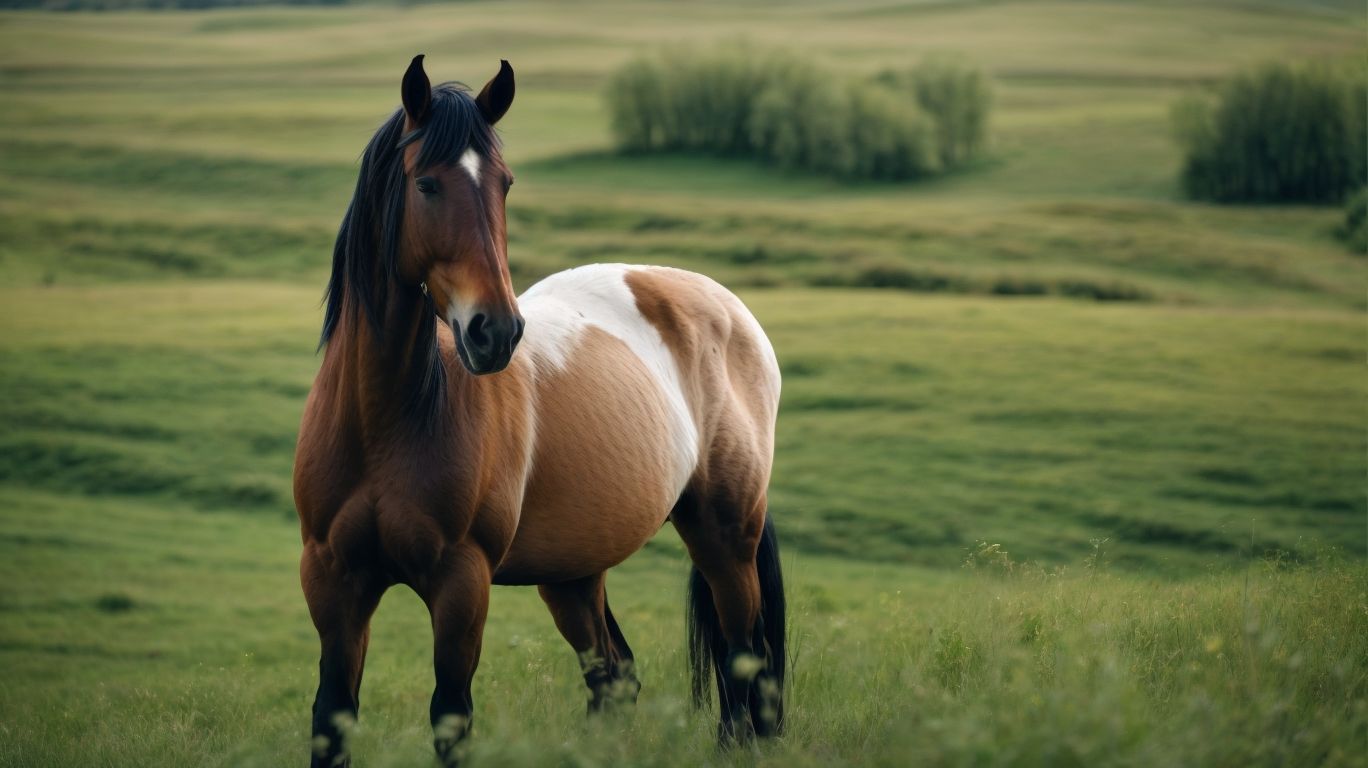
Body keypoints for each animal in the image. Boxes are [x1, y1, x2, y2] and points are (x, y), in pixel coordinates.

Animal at [293, 55, 786, 767]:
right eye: (426, 183)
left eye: (504, 184)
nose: (495, 332)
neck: (385, 422)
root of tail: (723, 303)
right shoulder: (333, 581)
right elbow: (332, 717)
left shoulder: (462, 584)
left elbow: (451, 715)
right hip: (575, 574)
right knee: (616, 674)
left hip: (724, 535)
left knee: (743, 659)